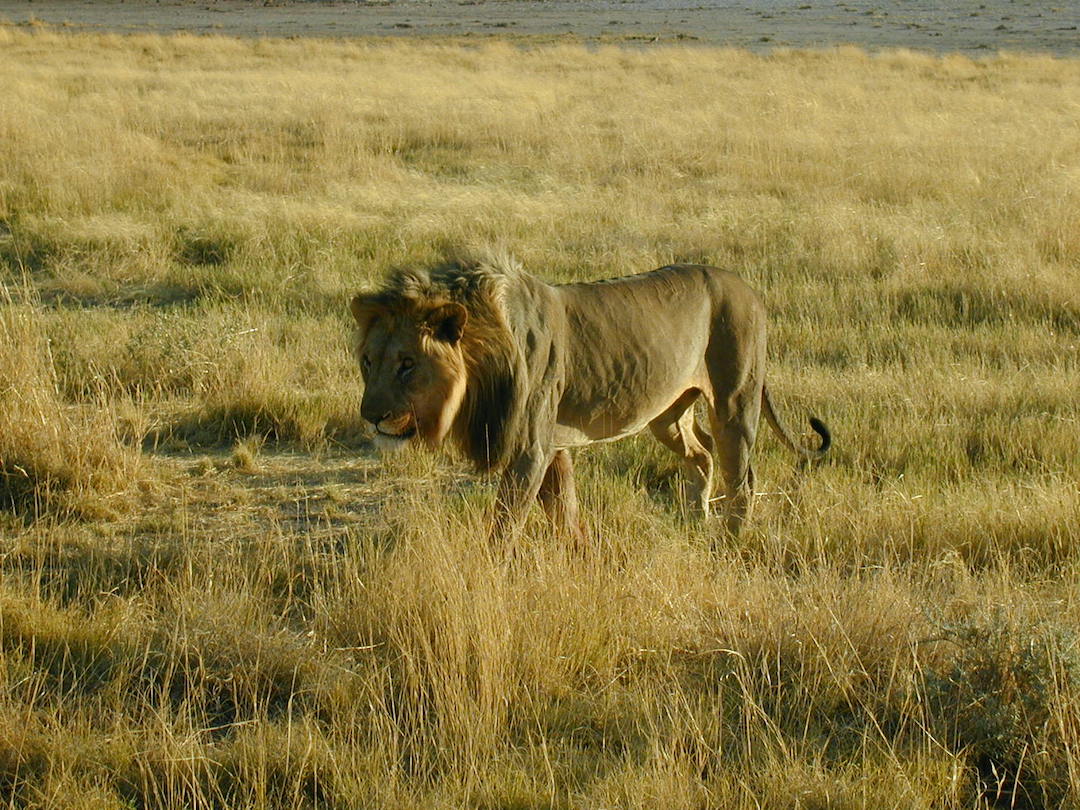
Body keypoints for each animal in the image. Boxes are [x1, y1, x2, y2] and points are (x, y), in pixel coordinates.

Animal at [350, 253, 830, 543]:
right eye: (369, 362)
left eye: (407, 363)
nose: (371, 417)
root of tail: (748, 287)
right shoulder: (553, 444)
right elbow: (565, 510)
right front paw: (579, 552)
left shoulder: (530, 447)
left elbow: (505, 525)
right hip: (667, 415)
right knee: (702, 456)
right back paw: (696, 521)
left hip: (734, 401)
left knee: (741, 477)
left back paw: (730, 542)